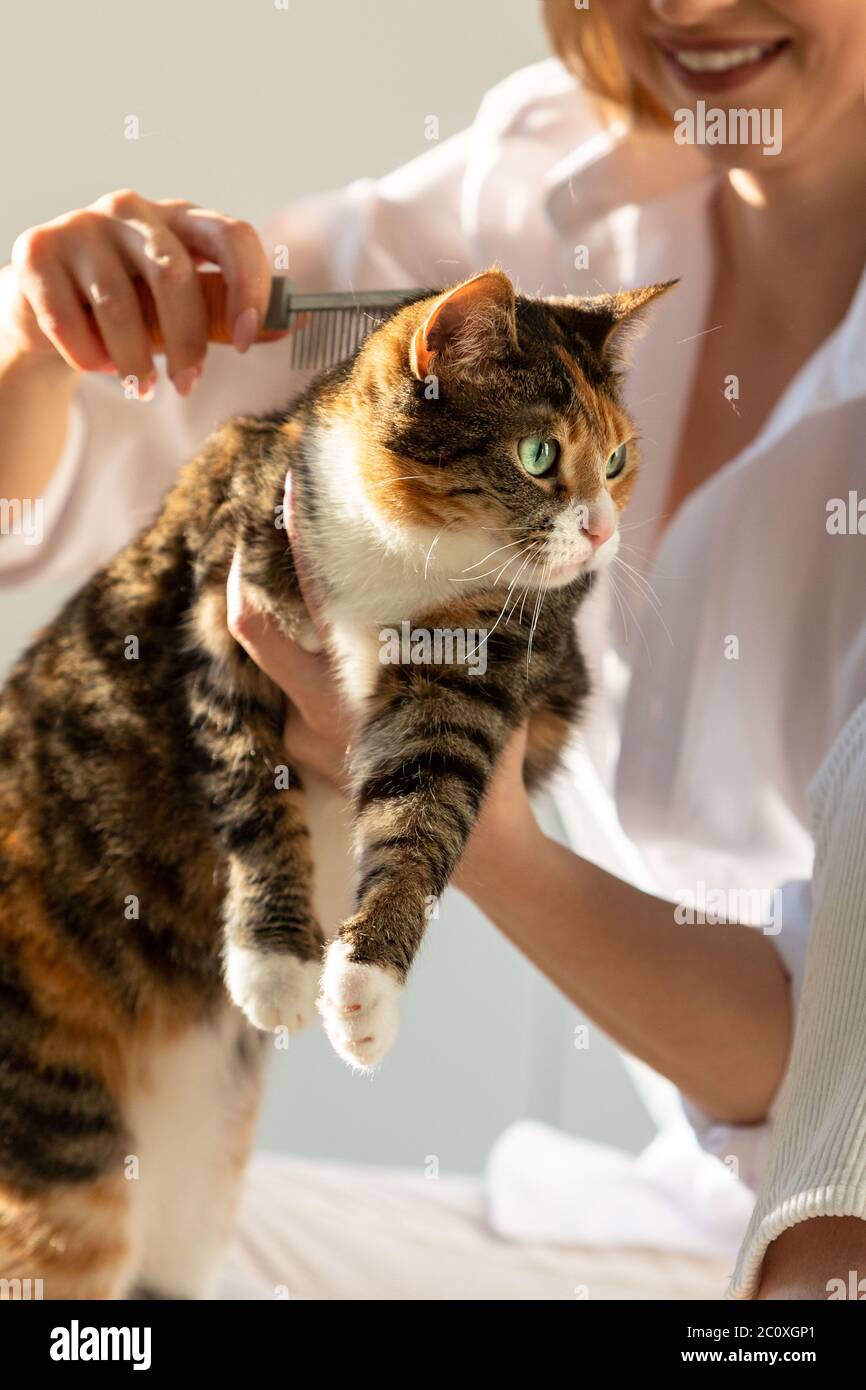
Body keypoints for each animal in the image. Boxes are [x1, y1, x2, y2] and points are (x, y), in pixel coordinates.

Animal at [0, 265, 670, 1295]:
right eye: (539, 453)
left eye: (622, 458)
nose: (601, 531)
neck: (405, 556)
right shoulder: (224, 603)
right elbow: (253, 793)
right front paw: (278, 961)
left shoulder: (478, 669)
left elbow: (427, 814)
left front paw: (365, 988)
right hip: (61, 1143)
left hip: (198, 1192)